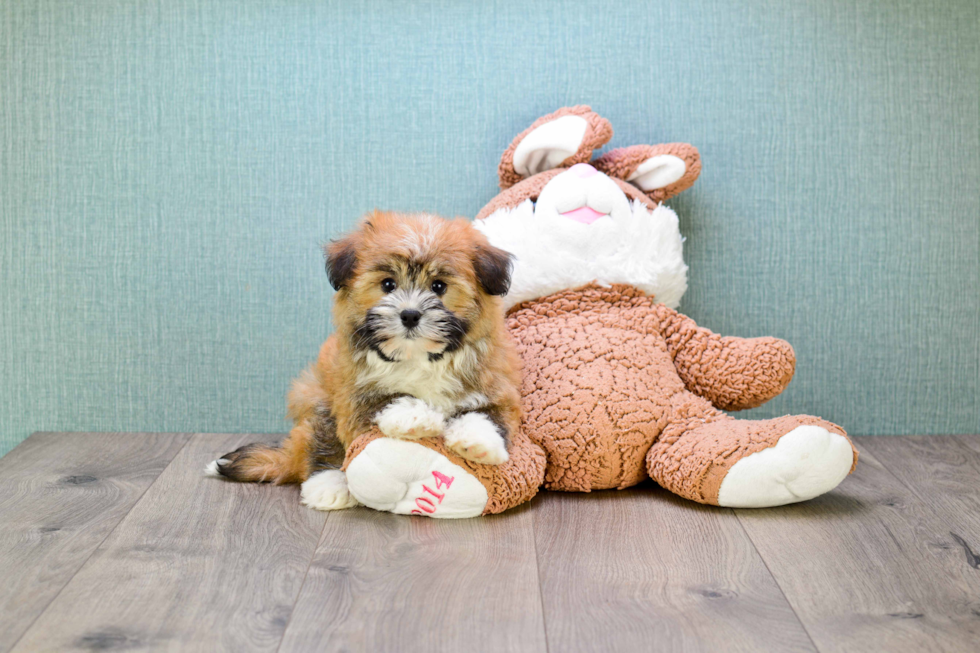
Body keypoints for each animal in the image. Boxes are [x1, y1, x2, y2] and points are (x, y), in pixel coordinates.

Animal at [206, 211, 520, 512]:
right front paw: (416, 417)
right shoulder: (352, 394)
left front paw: (477, 441)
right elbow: (384, 400)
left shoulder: (495, 384)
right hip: (317, 399)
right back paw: (328, 486)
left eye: (439, 286)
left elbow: (487, 413)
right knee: (321, 444)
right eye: (388, 284)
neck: (417, 358)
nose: (410, 315)